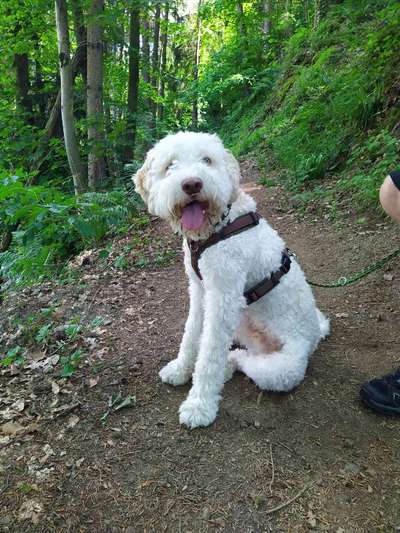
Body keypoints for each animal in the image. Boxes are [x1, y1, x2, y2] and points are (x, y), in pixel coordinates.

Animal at [134, 132, 328, 428]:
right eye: (170, 165)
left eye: (207, 160)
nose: (192, 184)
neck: (218, 227)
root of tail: (315, 336)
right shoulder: (200, 291)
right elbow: (191, 333)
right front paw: (180, 369)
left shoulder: (223, 298)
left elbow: (209, 354)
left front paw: (199, 405)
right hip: (243, 323)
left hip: (280, 370)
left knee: (241, 360)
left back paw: (228, 364)